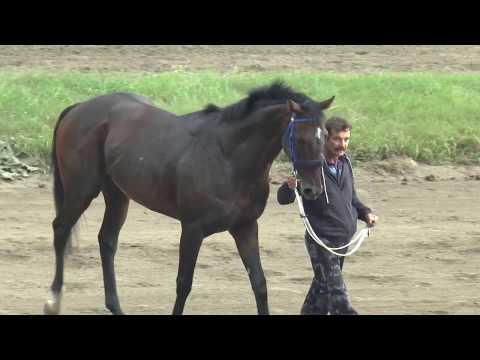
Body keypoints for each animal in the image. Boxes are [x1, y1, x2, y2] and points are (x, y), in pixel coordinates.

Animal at [43, 81, 332, 316]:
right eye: (299, 137)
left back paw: (115, 305)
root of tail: (79, 108)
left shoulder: (246, 226)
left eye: (325, 136)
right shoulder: (192, 229)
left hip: (117, 194)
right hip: (81, 189)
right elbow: (184, 284)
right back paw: (52, 301)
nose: (312, 190)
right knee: (61, 229)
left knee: (107, 240)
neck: (228, 156)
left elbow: (259, 283)